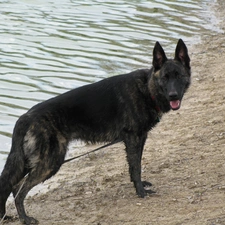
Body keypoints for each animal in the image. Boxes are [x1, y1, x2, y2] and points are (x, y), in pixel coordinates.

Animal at [0, 38, 190, 223]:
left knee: (12, 185)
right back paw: (25, 218)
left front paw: (140, 185)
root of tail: (26, 116)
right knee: (19, 190)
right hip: (50, 162)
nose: (173, 95)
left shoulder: (140, 138)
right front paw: (140, 192)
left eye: (178, 76)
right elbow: (136, 167)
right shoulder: (133, 139)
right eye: (165, 78)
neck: (146, 89)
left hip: (32, 161)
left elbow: (136, 165)